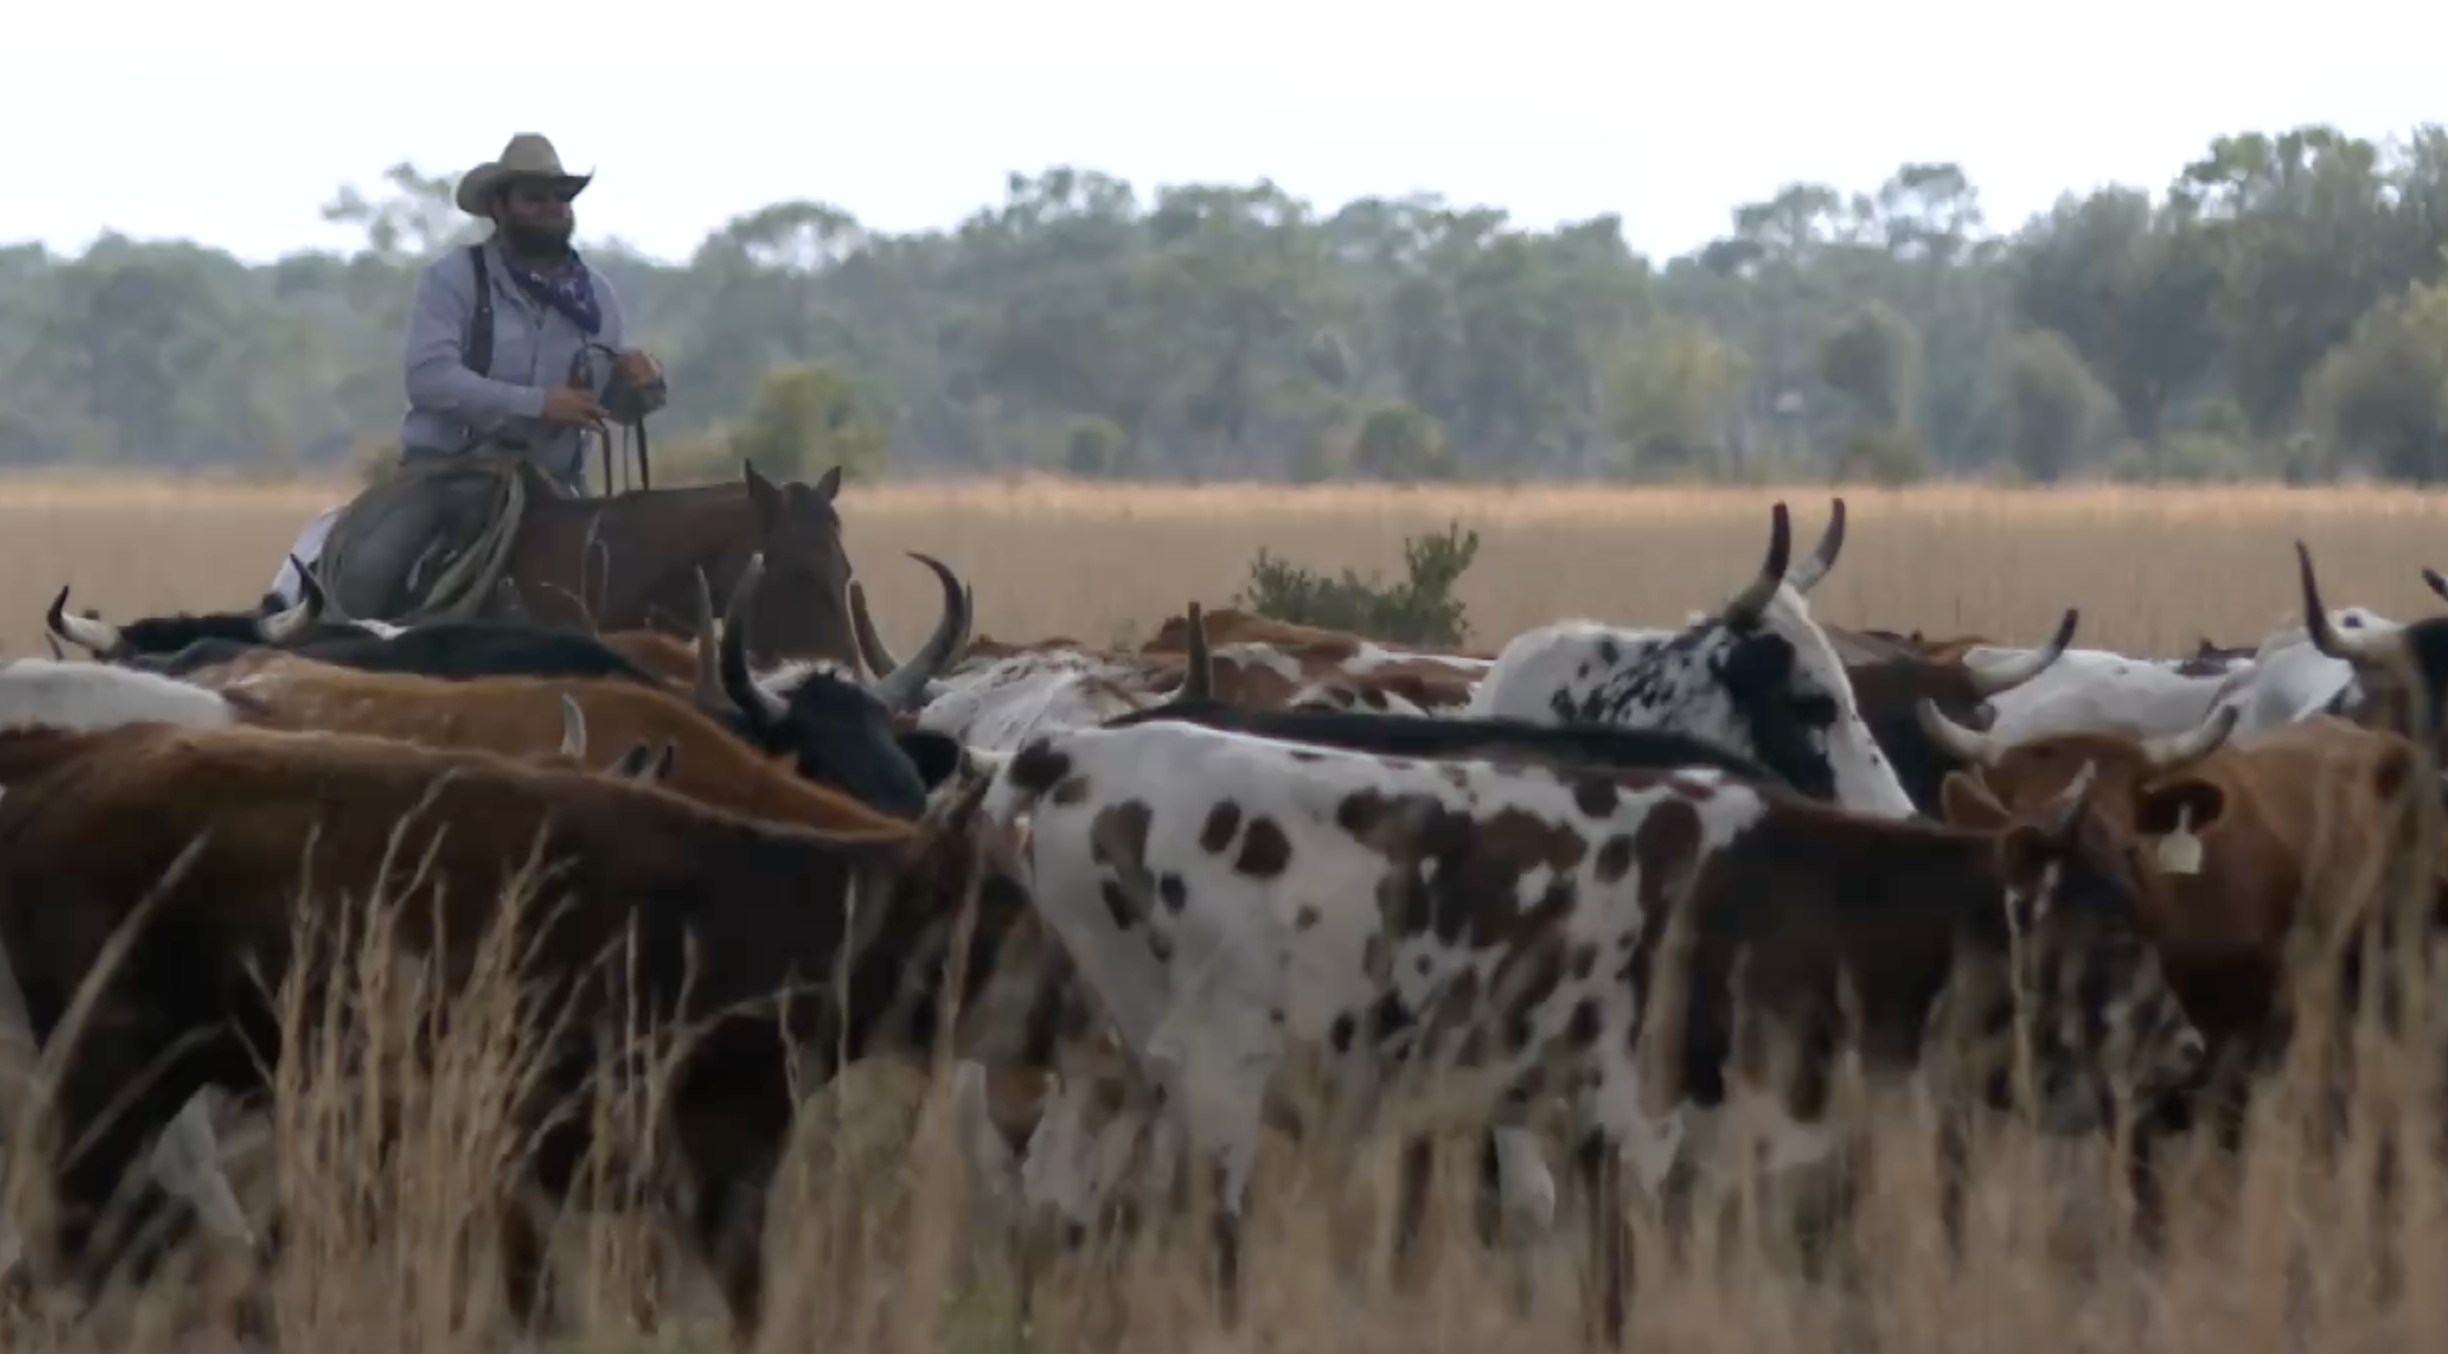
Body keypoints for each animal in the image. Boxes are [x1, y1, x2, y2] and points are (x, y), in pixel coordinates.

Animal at [966, 714, 2206, 1343]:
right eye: (2106, 925)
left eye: (2152, 903)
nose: (2184, 1050)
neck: (1773, 888)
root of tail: (1075, 751)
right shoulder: (1635, 1120)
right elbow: (1615, 1293)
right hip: (1217, 1076)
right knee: (1206, 1237)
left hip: (1106, 1072)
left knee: (1047, 1217)